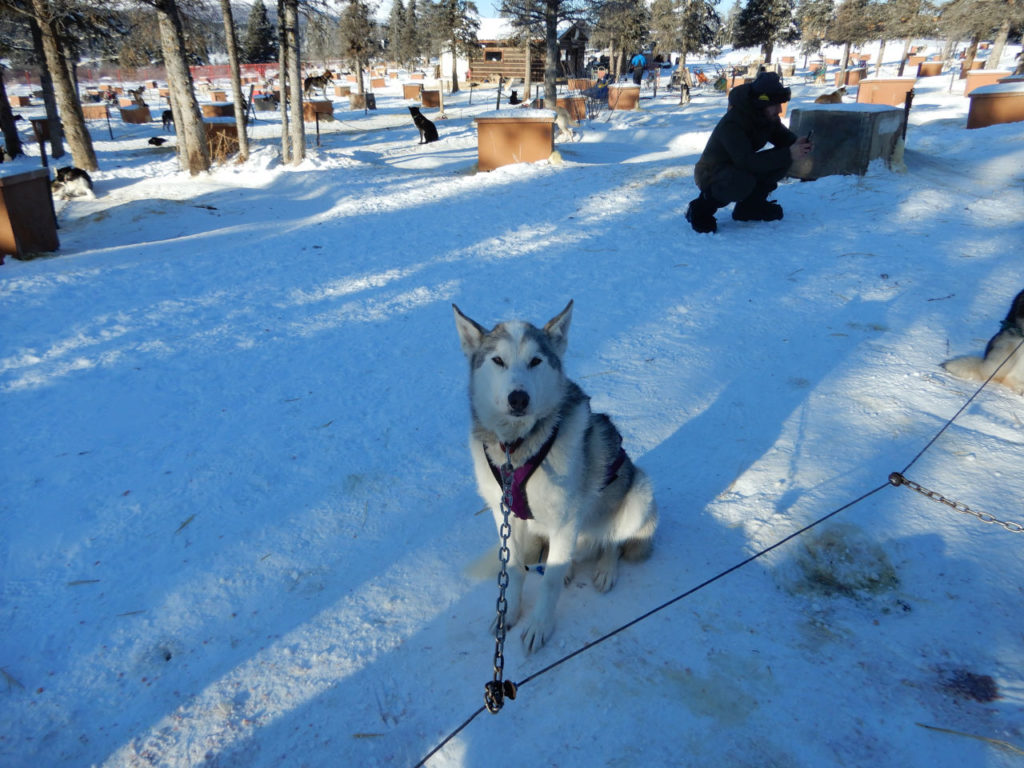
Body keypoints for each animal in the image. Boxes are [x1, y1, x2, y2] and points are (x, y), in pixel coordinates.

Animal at [454, 303, 659, 651]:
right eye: (498, 361)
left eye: (535, 361)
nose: (518, 398)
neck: (516, 449)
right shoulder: (503, 515)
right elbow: (514, 569)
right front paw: (508, 614)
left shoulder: (566, 520)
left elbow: (548, 583)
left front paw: (539, 625)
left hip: (637, 494)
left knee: (613, 542)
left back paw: (605, 568)